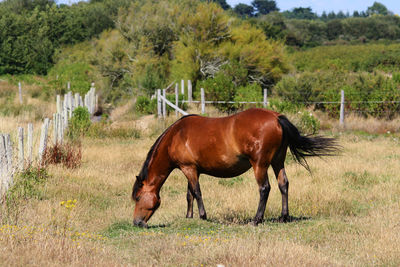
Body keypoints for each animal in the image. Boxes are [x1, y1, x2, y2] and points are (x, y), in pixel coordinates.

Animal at [132, 109, 338, 228]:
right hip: (278, 162)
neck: (177, 135)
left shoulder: (188, 168)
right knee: (283, 184)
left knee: (265, 189)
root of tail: (276, 118)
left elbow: (197, 192)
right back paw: (283, 217)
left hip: (260, 164)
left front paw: (202, 216)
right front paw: (189, 217)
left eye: (138, 198)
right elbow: (190, 194)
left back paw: (256, 220)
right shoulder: (191, 169)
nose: (137, 223)